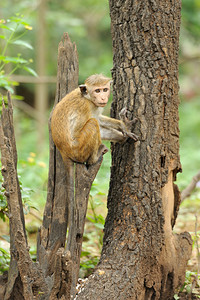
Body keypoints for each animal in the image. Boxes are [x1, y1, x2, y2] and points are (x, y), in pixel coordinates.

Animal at [50, 72, 138, 251]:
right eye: (97, 90)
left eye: (104, 89)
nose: (103, 96)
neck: (88, 98)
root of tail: (63, 152)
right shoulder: (85, 108)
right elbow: (89, 123)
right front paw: (123, 128)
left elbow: (101, 119)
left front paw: (123, 128)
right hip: (78, 149)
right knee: (92, 124)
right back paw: (95, 156)